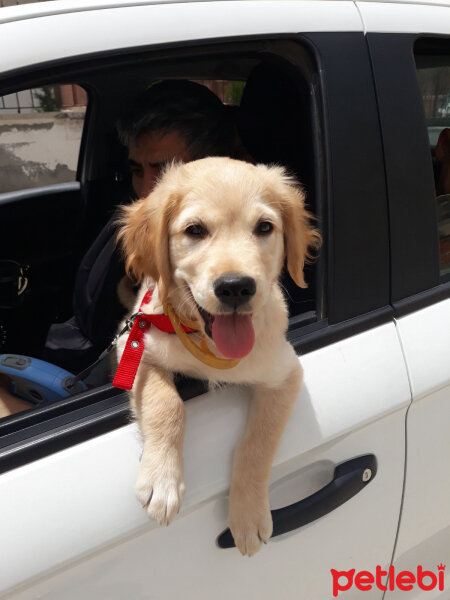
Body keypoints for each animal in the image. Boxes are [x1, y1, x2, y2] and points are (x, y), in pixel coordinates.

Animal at [116, 157, 320, 556]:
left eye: (264, 227)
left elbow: (258, 443)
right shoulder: (135, 347)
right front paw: (162, 481)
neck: (205, 343)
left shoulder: (285, 373)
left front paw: (249, 516)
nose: (235, 287)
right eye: (195, 230)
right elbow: (168, 405)